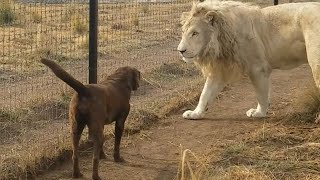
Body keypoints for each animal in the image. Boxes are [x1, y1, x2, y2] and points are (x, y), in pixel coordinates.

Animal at [178, 0, 320, 122]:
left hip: (315, 62)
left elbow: (261, 94)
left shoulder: (257, 68)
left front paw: (259, 113)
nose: (180, 50)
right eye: (183, 32)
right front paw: (195, 113)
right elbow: (205, 94)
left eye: (195, 33)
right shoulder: (220, 70)